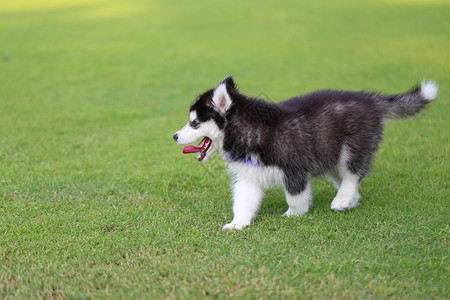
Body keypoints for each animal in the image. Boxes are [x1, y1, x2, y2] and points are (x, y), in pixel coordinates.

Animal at [173, 77, 436, 230]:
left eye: (194, 123)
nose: (174, 136)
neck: (249, 132)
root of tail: (369, 100)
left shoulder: (294, 168)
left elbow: (295, 195)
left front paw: (294, 214)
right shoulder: (248, 176)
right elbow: (243, 201)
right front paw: (238, 223)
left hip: (351, 148)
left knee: (353, 174)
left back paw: (342, 200)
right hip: (330, 157)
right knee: (347, 178)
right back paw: (350, 201)